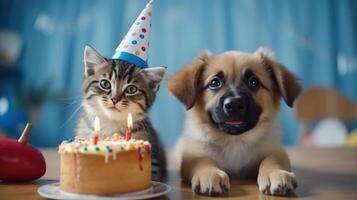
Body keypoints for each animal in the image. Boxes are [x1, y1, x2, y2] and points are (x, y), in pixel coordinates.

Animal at [167, 47, 300, 196]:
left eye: (254, 82)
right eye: (214, 83)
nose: (234, 104)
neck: (234, 141)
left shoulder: (275, 150)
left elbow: (272, 159)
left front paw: (275, 172)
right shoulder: (193, 155)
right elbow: (202, 161)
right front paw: (209, 174)